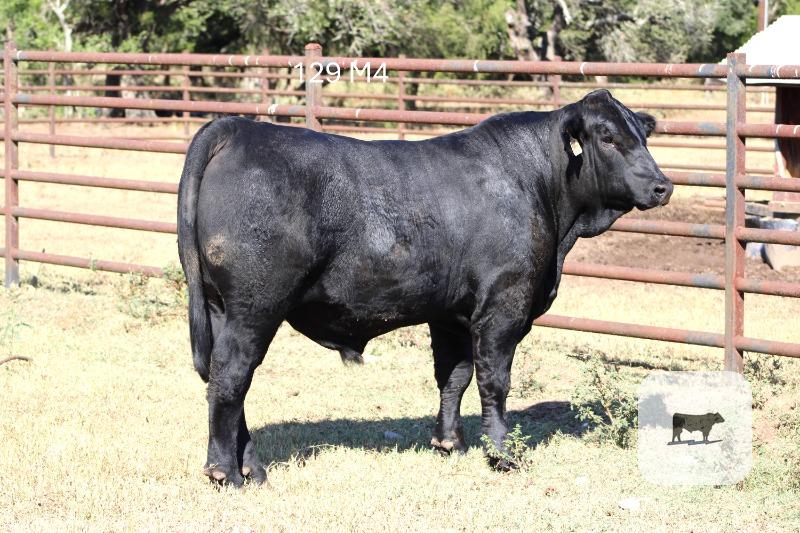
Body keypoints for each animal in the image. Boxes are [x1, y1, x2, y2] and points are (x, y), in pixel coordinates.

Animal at [177, 89, 673, 486]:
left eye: (643, 136)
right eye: (607, 138)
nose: (662, 186)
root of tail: (238, 127)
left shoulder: (452, 314)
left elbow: (454, 376)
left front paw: (449, 442)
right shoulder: (503, 305)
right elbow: (494, 381)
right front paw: (503, 454)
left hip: (222, 307)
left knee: (226, 381)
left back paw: (253, 468)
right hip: (255, 306)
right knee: (231, 377)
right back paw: (225, 472)